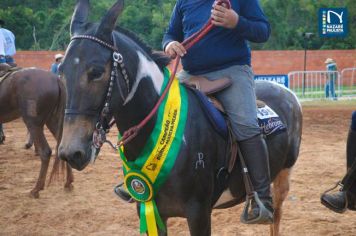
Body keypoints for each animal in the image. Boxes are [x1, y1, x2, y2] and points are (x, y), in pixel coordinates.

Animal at [0, 67, 73, 198]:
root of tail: (56, 79)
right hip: (53, 120)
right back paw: (68, 182)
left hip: (33, 123)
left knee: (45, 152)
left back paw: (36, 189)